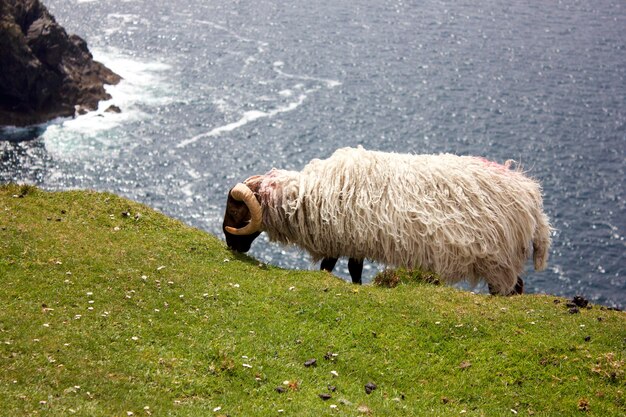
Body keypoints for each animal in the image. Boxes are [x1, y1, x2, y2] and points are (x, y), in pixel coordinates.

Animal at [223, 145, 552, 294]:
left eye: (236, 210)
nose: (231, 245)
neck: (307, 193)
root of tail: (530, 195)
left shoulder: (341, 239)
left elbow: (331, 267)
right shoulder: (353, 241)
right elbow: (353, 269)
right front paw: (357, 285)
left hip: (499, 258)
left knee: (512, 287)